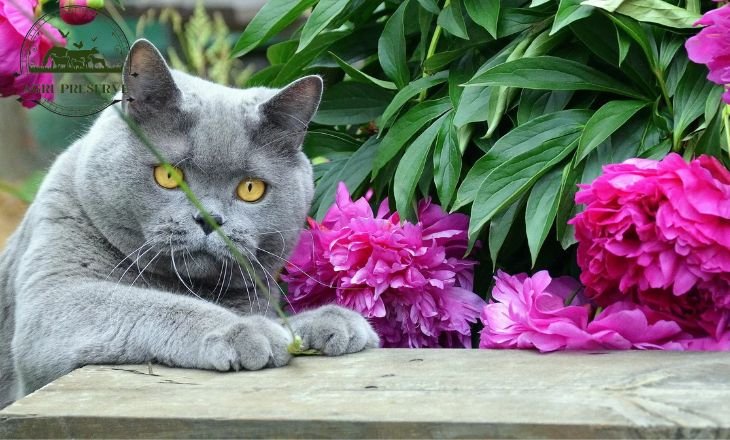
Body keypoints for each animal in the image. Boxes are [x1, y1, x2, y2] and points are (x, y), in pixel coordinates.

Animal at [0, 38, 376, 410]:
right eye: (168, 175)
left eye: (250, 188)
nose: (209, 218)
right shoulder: (53, 297)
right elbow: (149, 303)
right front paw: (244, 330)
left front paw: (331, 321)